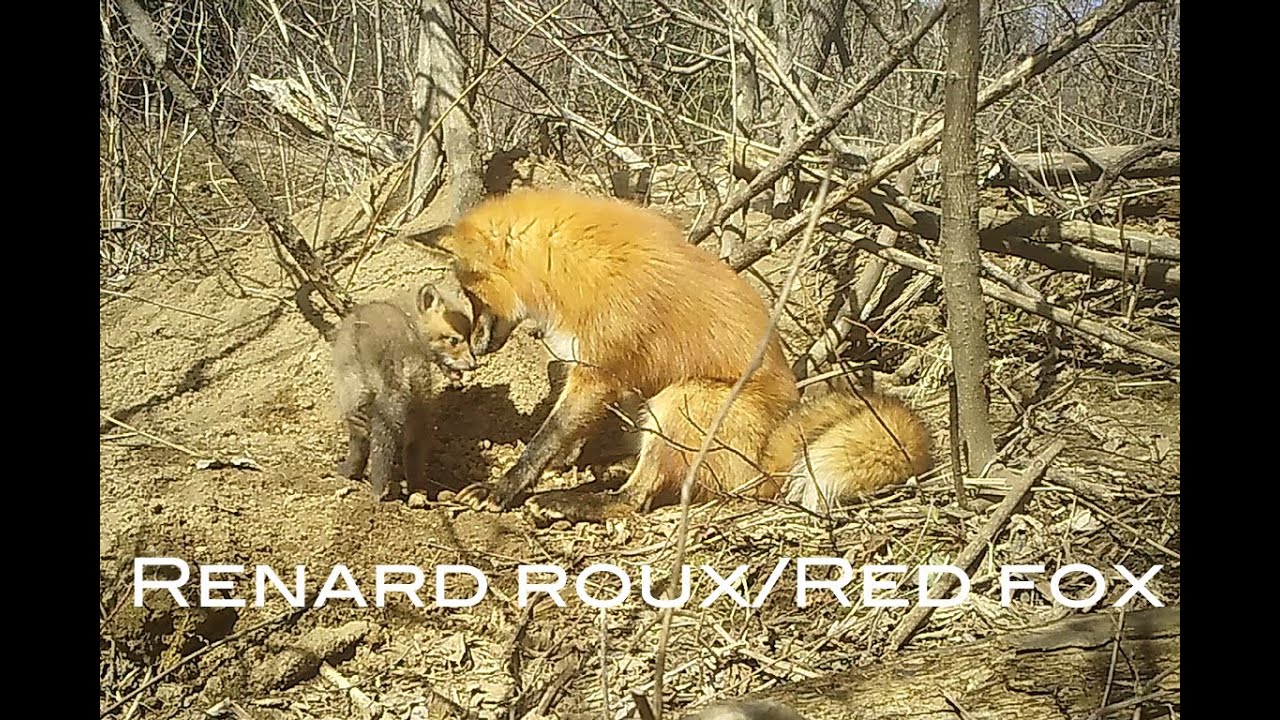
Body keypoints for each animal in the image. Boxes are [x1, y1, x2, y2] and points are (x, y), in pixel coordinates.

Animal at [330, 282, 477, 501]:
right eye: (453, 340)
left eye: (468, 337)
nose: (474, 364)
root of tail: (392, 356)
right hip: (416, 403)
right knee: (413, 451)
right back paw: (416, 492)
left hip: (359, 401)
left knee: (364, 444)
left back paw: (354, 476)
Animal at [411, 188, 930, 521]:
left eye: (471, 293)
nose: (477, 350)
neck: (576, 267)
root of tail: (765, 465)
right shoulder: (591, 371)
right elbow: (565, 433)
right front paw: (557, 466)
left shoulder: (598, 372)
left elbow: (546, 438)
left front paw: (504, 489)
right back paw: (603, 472)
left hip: (682, 399)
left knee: (636, 500)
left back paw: (577, 502)